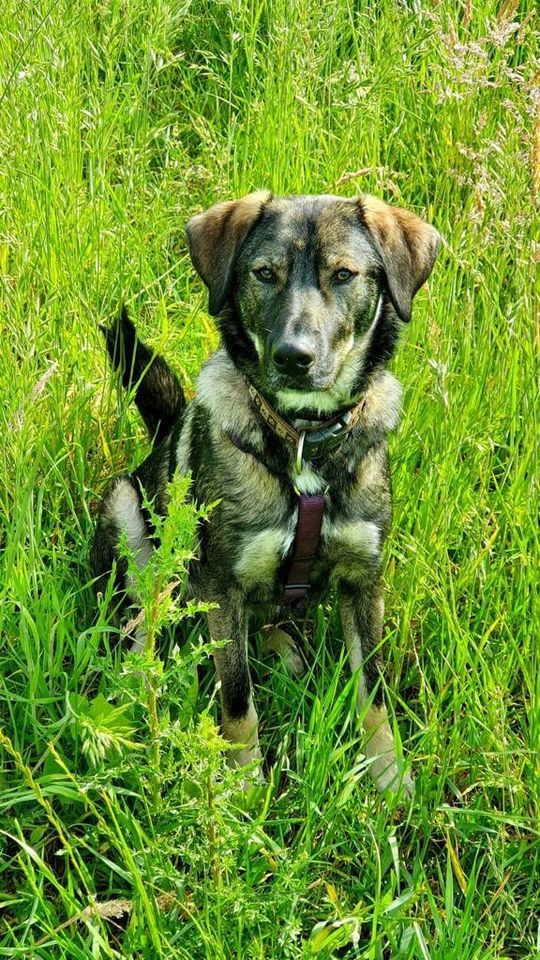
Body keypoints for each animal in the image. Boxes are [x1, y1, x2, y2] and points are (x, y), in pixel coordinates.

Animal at [92, 189, 438, 796]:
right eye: (265, 273)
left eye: (343, 274)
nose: (293, 356)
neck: (301, 441)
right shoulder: (221, 584)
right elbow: (237, 699)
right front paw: (243, 784)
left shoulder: (363, 577)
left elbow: (373, 691)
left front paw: (389, 776)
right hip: (128, 518)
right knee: (143, 627)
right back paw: (135, 690)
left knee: (267, 622)